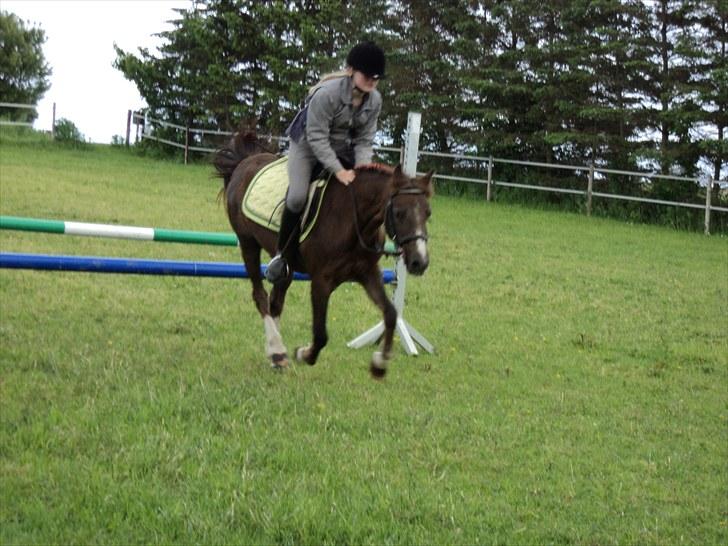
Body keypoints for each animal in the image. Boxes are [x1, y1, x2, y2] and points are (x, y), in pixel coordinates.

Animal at [213, 132, 433, 377]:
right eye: (399, 213)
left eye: (428, 213)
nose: (419, 262)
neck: (353, 220)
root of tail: (245, 162)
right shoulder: (321, 281)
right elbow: (320, 335)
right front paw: (303, 353)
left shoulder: (368, 273)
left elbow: (391, 314)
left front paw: (379, 363)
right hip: (248, 243)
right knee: (260, 296)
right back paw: (277, 349)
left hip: (286, 263)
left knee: (276, 300)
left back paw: (277, 356)